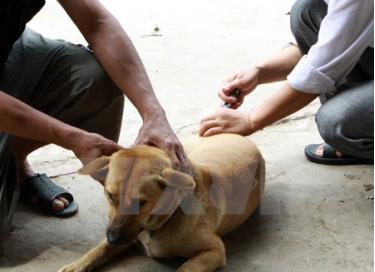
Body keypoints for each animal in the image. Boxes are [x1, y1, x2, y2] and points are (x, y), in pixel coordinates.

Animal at [58, 134, 264, 272]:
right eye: (110, 195)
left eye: (141, 202)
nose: (113, 238)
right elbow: (99, 249)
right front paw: (76, 265)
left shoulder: (215, 250)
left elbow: (186, 268)